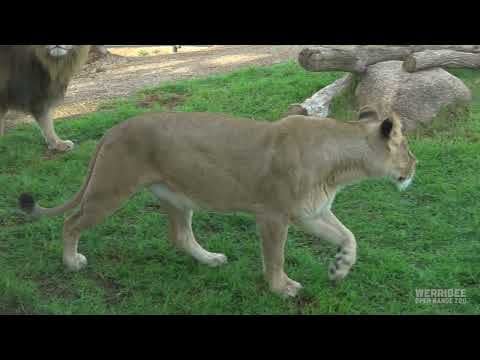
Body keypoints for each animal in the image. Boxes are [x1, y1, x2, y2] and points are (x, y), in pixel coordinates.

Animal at [18, 109, 416, 298]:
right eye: (407, 148)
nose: (415, 166)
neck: (341, 169)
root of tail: (112, 130)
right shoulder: (273, 216)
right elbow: (275, 257)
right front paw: (281, 288)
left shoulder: (311, 213)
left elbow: (349, 237)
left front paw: (339, 268)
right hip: (110, 190)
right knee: (70, 223)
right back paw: (72, 262)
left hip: (176, 197)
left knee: (180, 237)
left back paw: (210, 259)